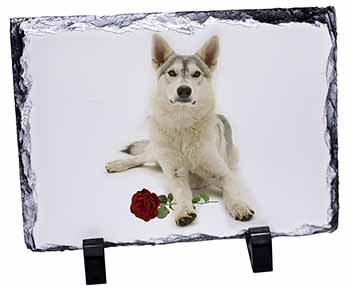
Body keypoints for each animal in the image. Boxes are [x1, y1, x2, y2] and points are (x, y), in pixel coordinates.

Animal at [105, 34, 256, 225]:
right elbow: (182, 194)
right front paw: (184, 211)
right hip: (157, 152)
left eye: (196, 74)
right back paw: (117, 164)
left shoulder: (224, 173)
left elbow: (232, 192)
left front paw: (239, 206)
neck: (183, 125)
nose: (184, 90)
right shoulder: (176, 175)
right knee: (139, 157)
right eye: (172, 73)